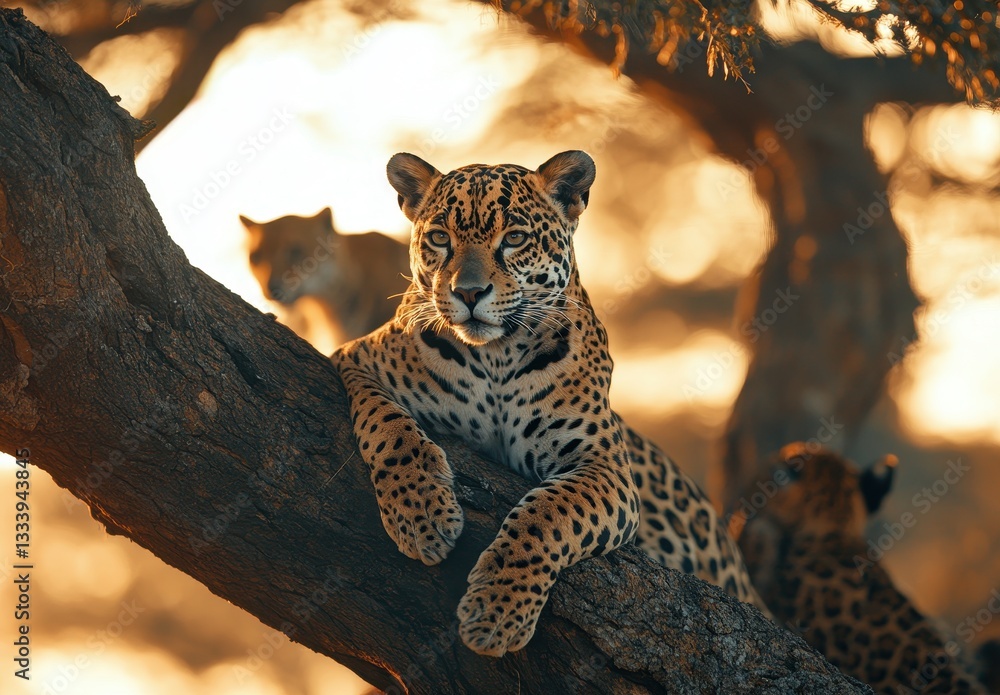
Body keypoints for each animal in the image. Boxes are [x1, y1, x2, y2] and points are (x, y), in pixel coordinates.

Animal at [332, 150, 764, 657]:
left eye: (514, 238)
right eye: (440, 238)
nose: (468, 293)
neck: (496, 355)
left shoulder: (604, 464)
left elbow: (548, 514)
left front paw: (496, 614)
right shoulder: (356, 358)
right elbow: (391, 429)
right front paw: (422, 516)